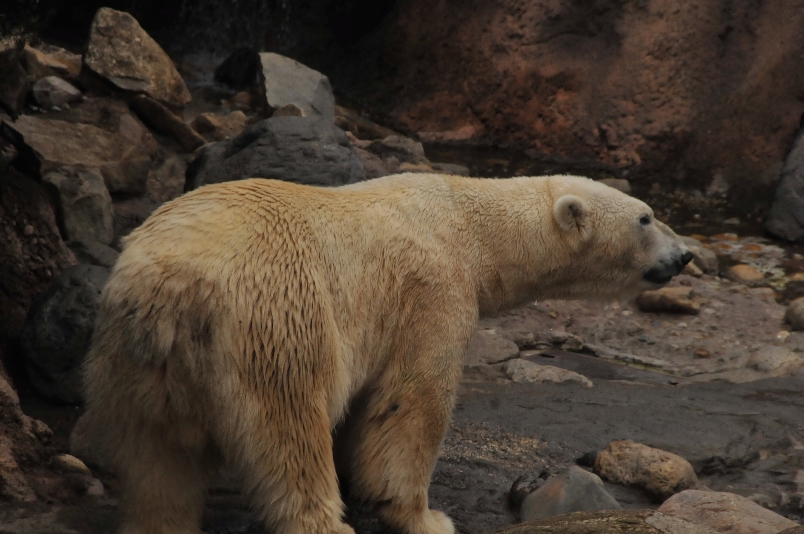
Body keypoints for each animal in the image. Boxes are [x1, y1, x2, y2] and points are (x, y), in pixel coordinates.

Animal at [86, 174, 692, 532]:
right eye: (645, 216)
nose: (685, 254)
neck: (468, 221)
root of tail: (174, 286)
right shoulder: (432, 291)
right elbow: (410, 403)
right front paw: (428, 518)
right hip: (277, 323)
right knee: (289, 438)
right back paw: (328, 522)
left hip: (133, 360)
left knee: (156, 465)